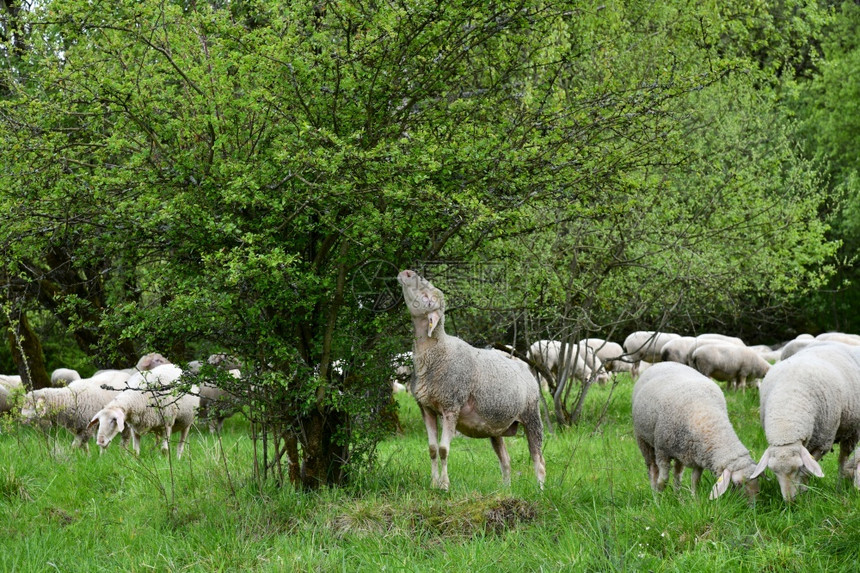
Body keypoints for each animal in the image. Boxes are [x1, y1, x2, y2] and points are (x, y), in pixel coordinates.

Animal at [398, 270, 544, 490]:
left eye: (427, 297)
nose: (406, 273)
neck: (438, 351)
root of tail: (525, 368)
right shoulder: (426, 408)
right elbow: (432, 449)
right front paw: (433, 483)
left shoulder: (451, 406)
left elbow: (443, 450)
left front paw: (444, 485)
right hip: (496, 426)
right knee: (506, 460)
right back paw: (505, 489)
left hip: (531, 414)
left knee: (538, 458)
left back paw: (541, 489)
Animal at [632, 364, 760, 498]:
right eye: (738, 484)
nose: (754, 504)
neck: (708, 420)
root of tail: (663, 363)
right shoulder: (662, 452)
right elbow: (663, 481)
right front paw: (660, 497)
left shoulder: (699, 457)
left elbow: (695, 481)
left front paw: (694, 499)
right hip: (643, 440)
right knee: (652, 469)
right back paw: (655, 495)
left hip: (681, 450)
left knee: (677, 474)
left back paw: (678, 496)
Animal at [748, 342, 860, 498]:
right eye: (774, 471)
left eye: (798, 466)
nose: (789, 501)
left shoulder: (822, 444)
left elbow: (807, 471)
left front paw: (804, 491)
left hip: (853, 431)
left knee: (842, 459)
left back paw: (839, 485)